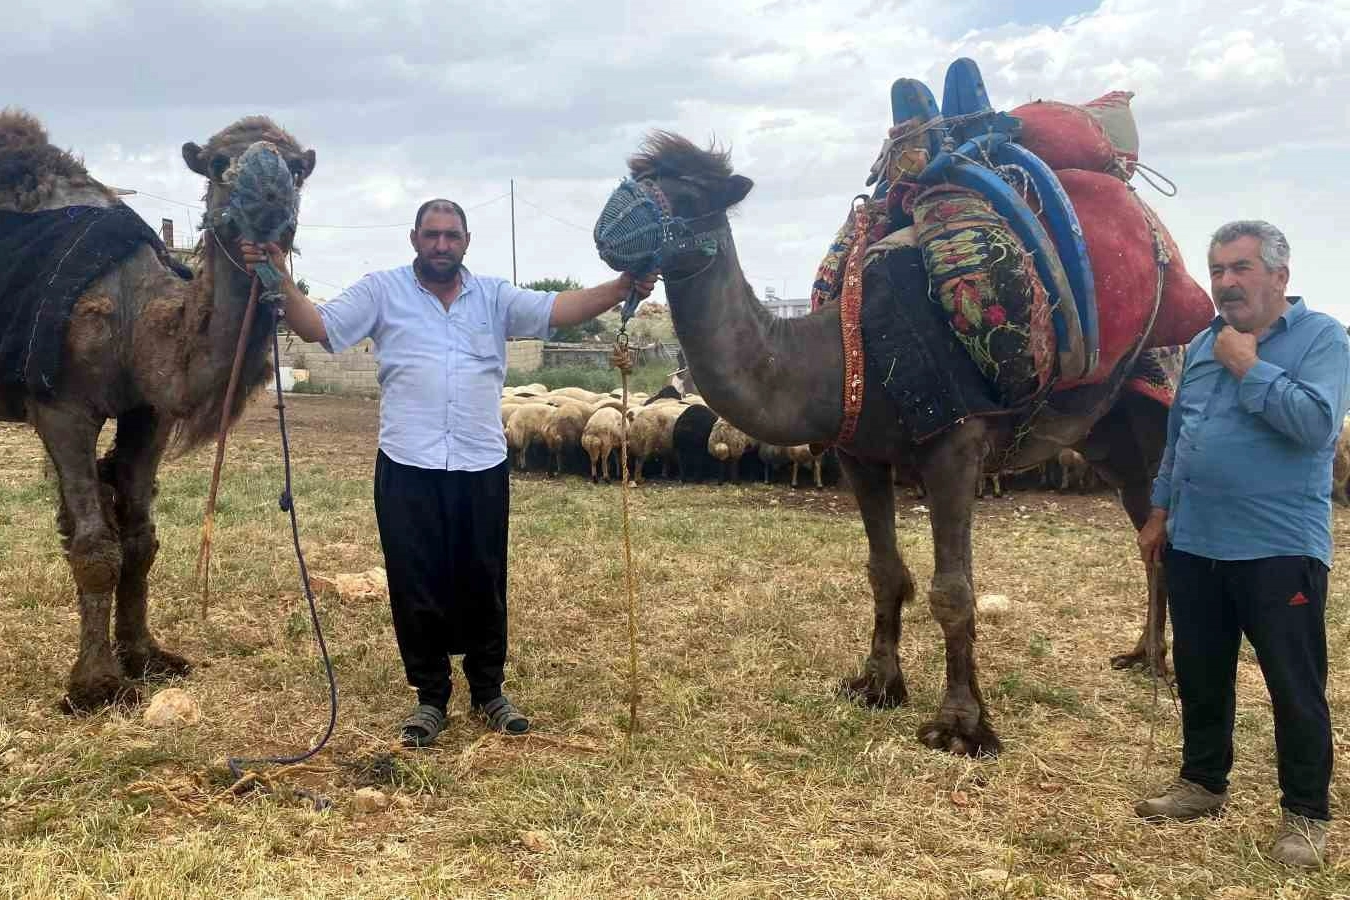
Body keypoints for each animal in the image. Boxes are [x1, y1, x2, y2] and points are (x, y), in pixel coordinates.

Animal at [1, 110, 315, 712]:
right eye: (218, 164)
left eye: (297, 168)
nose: (268, 192)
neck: (135, 315)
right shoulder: (61, 406)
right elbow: (95, 546)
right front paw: (97, 685)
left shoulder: (149, 412)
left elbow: (141, 540)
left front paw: (146, 656)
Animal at [615, 132, 1171, 755]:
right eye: (636, 177)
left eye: (689, 194)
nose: (606, 231)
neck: (844, 354)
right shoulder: (859, 453)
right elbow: (886, 572)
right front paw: (878, 685)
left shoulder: (955, 446)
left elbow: (952, 590)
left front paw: (961, 726)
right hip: (1109, 442)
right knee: (1150, 536)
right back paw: (1144, 655)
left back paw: (1155, 662)